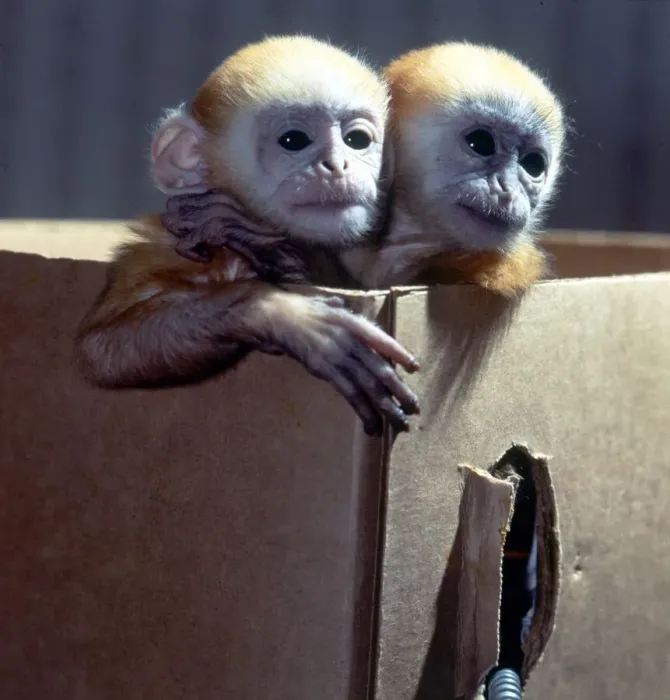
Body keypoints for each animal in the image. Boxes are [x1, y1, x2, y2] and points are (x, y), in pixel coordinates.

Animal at [75, 35, 421, 438]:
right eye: (294, 140)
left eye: (357, 140)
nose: (338, 165)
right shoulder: (173, 250)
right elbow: (101, 346)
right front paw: (287, 315)